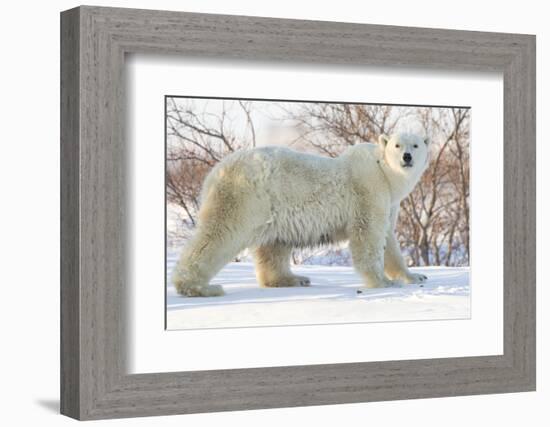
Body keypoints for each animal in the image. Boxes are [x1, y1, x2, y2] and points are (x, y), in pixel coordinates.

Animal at [175, 134, 434, 298]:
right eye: (397, 145)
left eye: (416, 145)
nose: (407, 157)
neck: (384, 171)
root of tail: (214, 173)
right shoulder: (368, 190)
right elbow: (368, 234)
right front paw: (383, 282)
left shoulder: (389, 201)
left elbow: (388, 240)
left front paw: (415, 276)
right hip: (244, 196)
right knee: (219, 234)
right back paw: (198, 287)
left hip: (273, 207)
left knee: (274, 245)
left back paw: (294, 278)